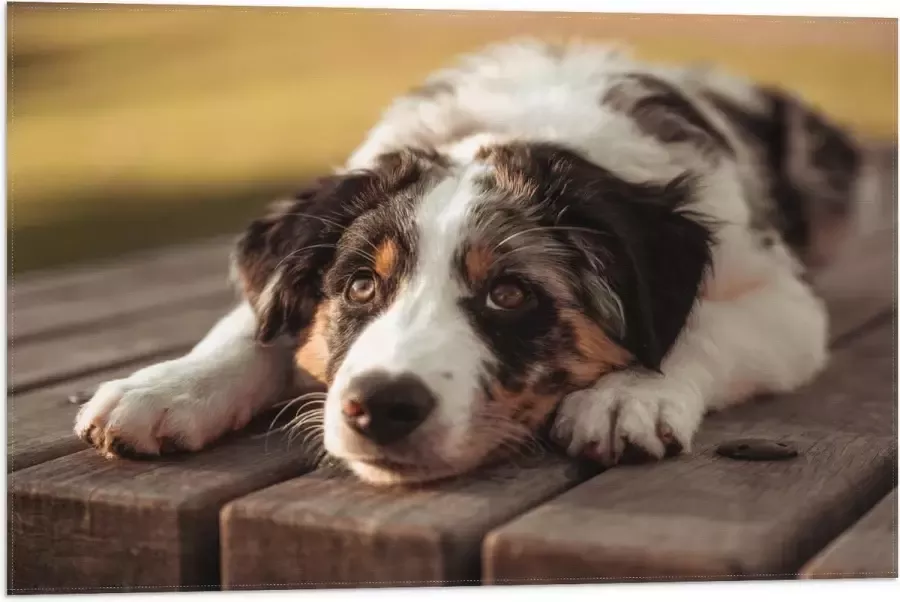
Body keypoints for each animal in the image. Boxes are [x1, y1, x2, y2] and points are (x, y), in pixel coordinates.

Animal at [74, 39, 876, 486]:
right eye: (359, 285)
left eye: (510, 294)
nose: (380, 408)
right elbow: (252, 322)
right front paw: (165, 388)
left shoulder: (783, 301)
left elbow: (698, 328)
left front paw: (628, 396)